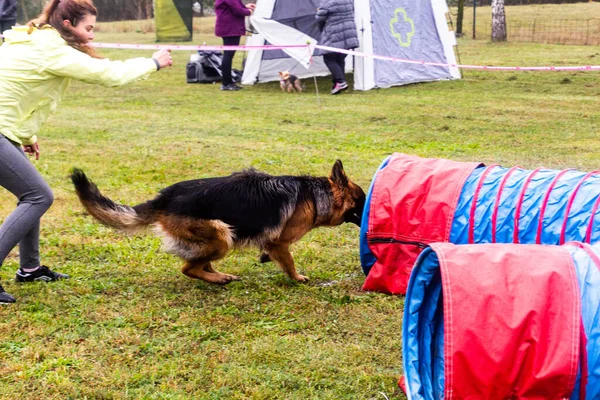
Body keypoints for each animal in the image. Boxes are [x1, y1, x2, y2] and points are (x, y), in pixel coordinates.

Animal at [68, 160, 364, 284]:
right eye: (361, 200)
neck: (314, 196)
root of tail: (164, 198)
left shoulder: (273, 243)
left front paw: (265, 258)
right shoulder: (281, 242)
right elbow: (289, 261)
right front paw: (298, 278)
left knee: (199, 263)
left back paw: (217, 274)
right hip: (222, 235)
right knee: (188, 267)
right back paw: (218, 278)